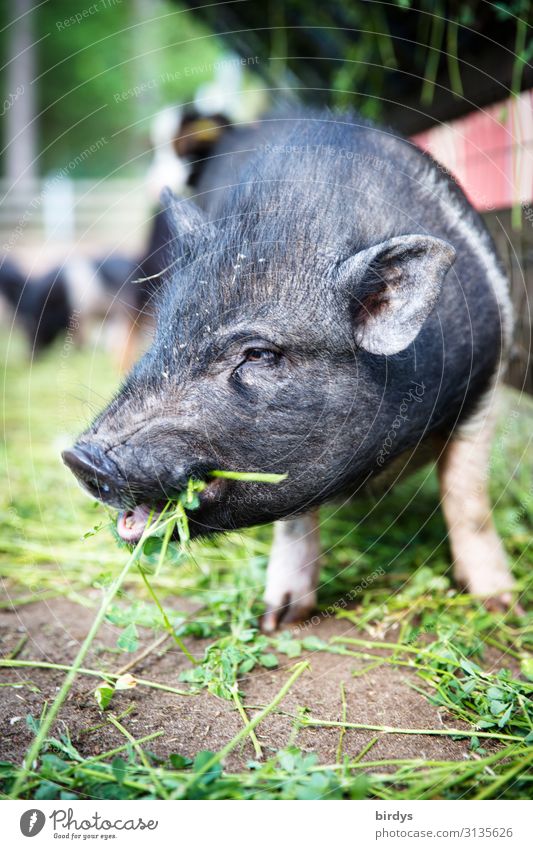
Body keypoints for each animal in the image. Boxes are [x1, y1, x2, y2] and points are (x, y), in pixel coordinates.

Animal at [62, 111, 516, 628]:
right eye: (167, 331)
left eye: (258, 354)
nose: (79, 457)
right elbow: (295, 522)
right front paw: (278, 619)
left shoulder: (487, 384)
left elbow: (469, 499)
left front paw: (504, 607)